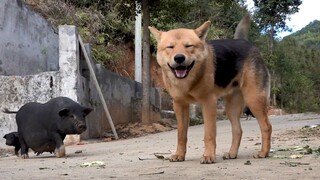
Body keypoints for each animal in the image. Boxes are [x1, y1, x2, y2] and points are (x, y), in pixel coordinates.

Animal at [149, 14, 272, 163]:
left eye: (188, 46)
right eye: (170, 47)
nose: (179, 58)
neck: (189, 80)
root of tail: (245, 42)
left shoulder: (208, 103)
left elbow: (209, 134)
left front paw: (208, 155)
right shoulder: (179, 105)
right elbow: (181, 134)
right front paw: (179, 154)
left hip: (254, 100)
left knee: (266, 126)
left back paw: (264, 152)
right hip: (231, 108)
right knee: (238, 130)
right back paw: (232, 153)